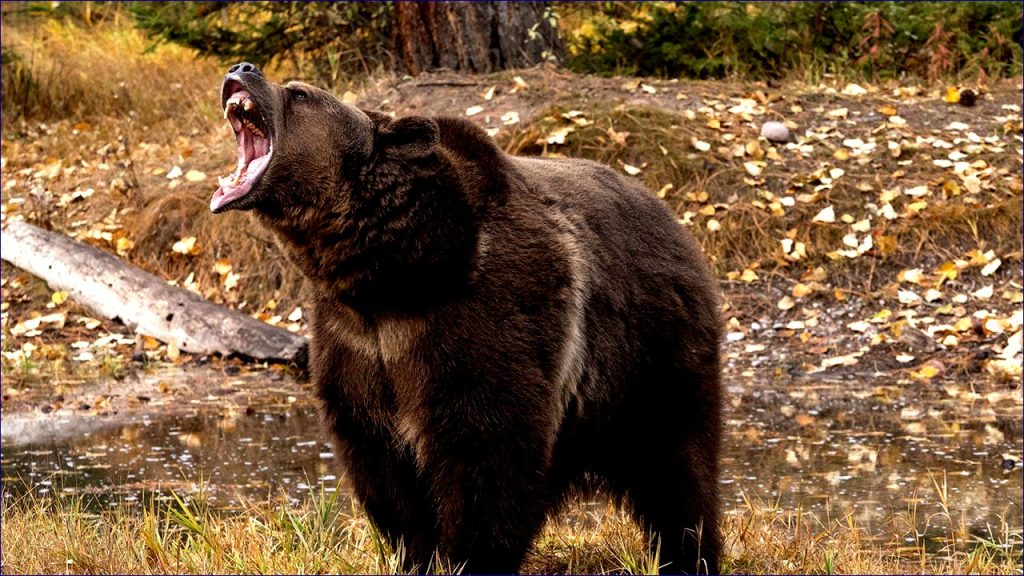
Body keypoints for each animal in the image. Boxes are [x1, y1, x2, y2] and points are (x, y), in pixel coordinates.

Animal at [210, 62, 723, 574]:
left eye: (299, 94)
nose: (242, 68)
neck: (394, 277)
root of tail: (670, 215)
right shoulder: (356, 346)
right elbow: (384, 469)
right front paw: (416, 553)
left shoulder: (481, 323)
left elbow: (485, 457)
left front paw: (468, 556)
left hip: (652, 355)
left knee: (677, 469)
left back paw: (689, 555)